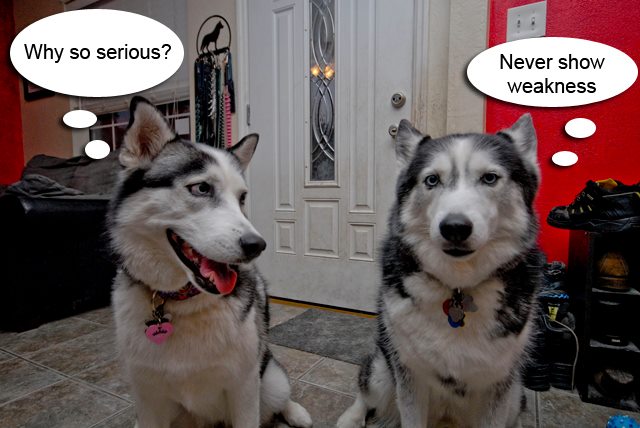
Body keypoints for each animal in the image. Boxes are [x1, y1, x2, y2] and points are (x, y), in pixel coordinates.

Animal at [109, 97, 312, 428]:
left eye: (241, 198)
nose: (257, 245)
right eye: (202, 188)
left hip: (269, 379)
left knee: (279, 396)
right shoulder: (148, 399)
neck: (182, 302)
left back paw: (296, 412)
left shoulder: (244, 389)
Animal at [337, 115, 543, 428]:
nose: (455, 227)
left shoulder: (498, 383)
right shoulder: (408, 373)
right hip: (383, 370)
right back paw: (350, 417)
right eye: (432, 180)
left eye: (490, 178)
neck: (458, 287)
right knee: (365, 392)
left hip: (515, 391)